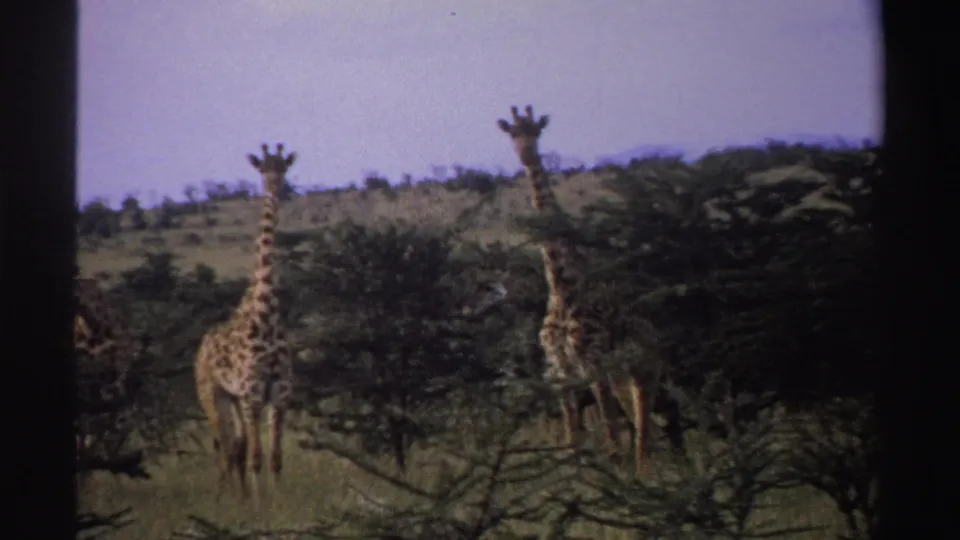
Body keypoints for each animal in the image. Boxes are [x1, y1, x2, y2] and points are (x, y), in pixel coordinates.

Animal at [194, 143, 296, 502]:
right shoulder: (252, 392)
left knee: (234, 446)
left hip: (234, 398)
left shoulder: (280, 392)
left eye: (284, 167)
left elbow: (275, 457)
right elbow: (256, 456)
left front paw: (278, 501)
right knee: (224, 448)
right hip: (211, 394)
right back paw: (226, 498)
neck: (265, 312)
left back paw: (239, 496)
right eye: (262, 169)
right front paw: (261, 505)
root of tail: (201, 347)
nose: (275, 185)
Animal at [496, 105, 661, 475]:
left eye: (537, 131)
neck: (561, 285)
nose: (527, 155)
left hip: (641, 356)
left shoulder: (592, 362)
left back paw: (648, 470)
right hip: (620, 366)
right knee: (635, 411)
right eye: (512, 133)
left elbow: (610, 434)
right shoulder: (562, 372)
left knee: (643, 408)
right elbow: (572, 438)